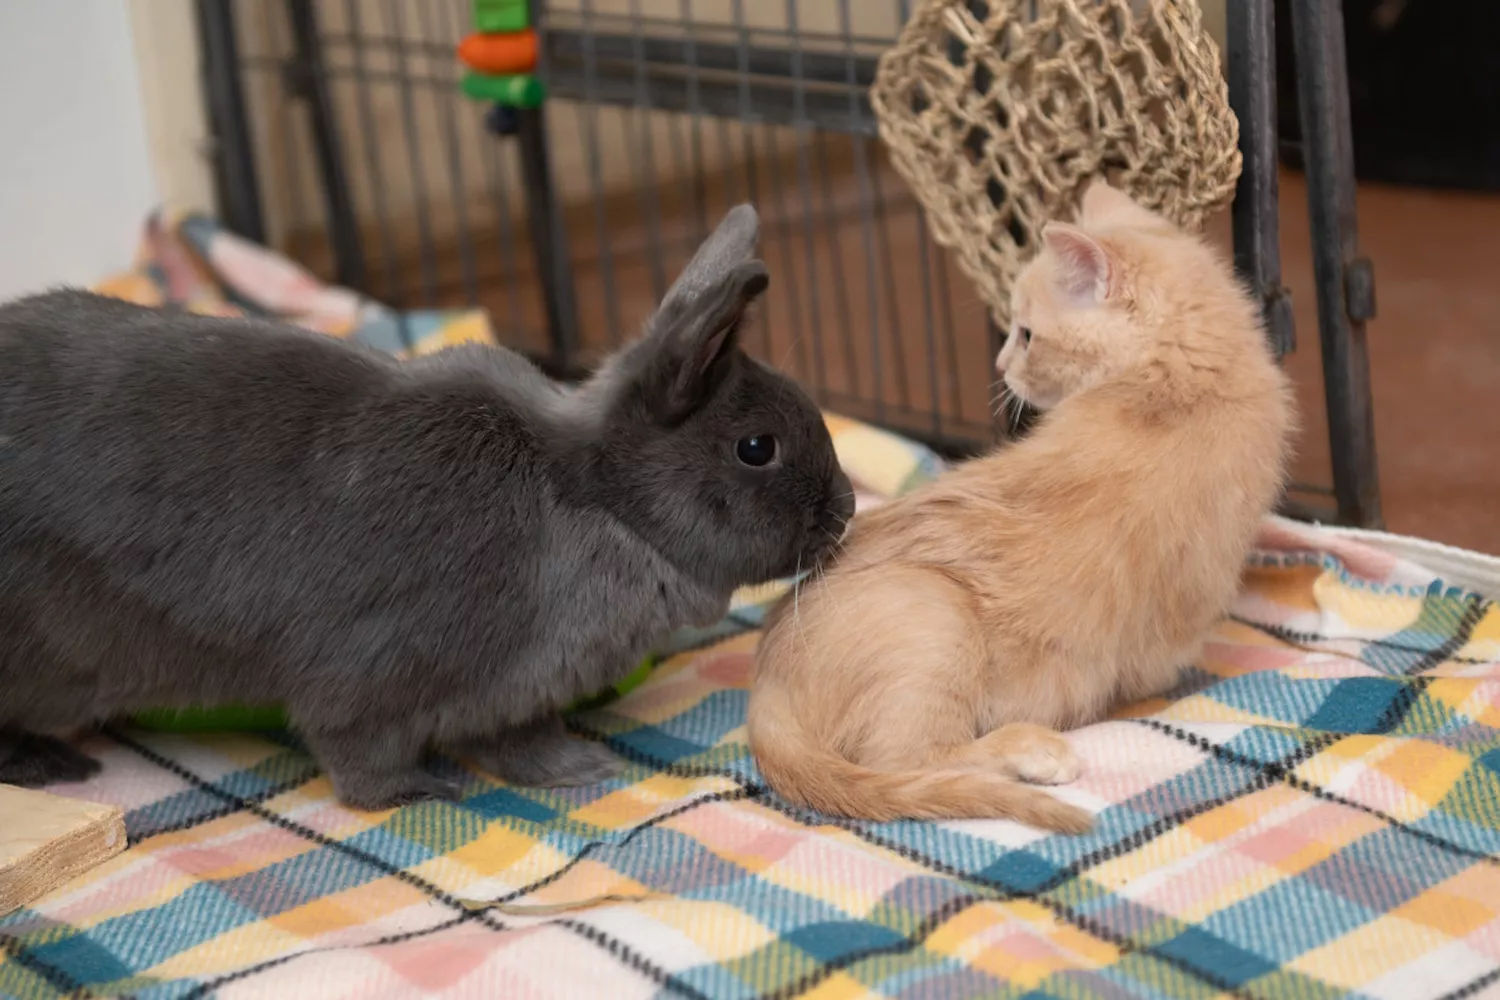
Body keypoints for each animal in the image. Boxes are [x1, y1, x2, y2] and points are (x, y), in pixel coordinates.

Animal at [0, 206, 858, 809]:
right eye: (757, 447)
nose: (848, 507)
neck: (594, 500)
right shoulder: (373, 680)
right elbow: (359, 756)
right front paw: (423, 791)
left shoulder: (515, 697)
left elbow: (524, 743)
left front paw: (579, 769)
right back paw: (55, 767)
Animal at [744, 183, 1296, 833]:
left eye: (1027, 334)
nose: (1001, 365)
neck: (1182, 377)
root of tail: (765, 679)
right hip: (934, 620)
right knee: (906, 760)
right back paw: (1031, 751)